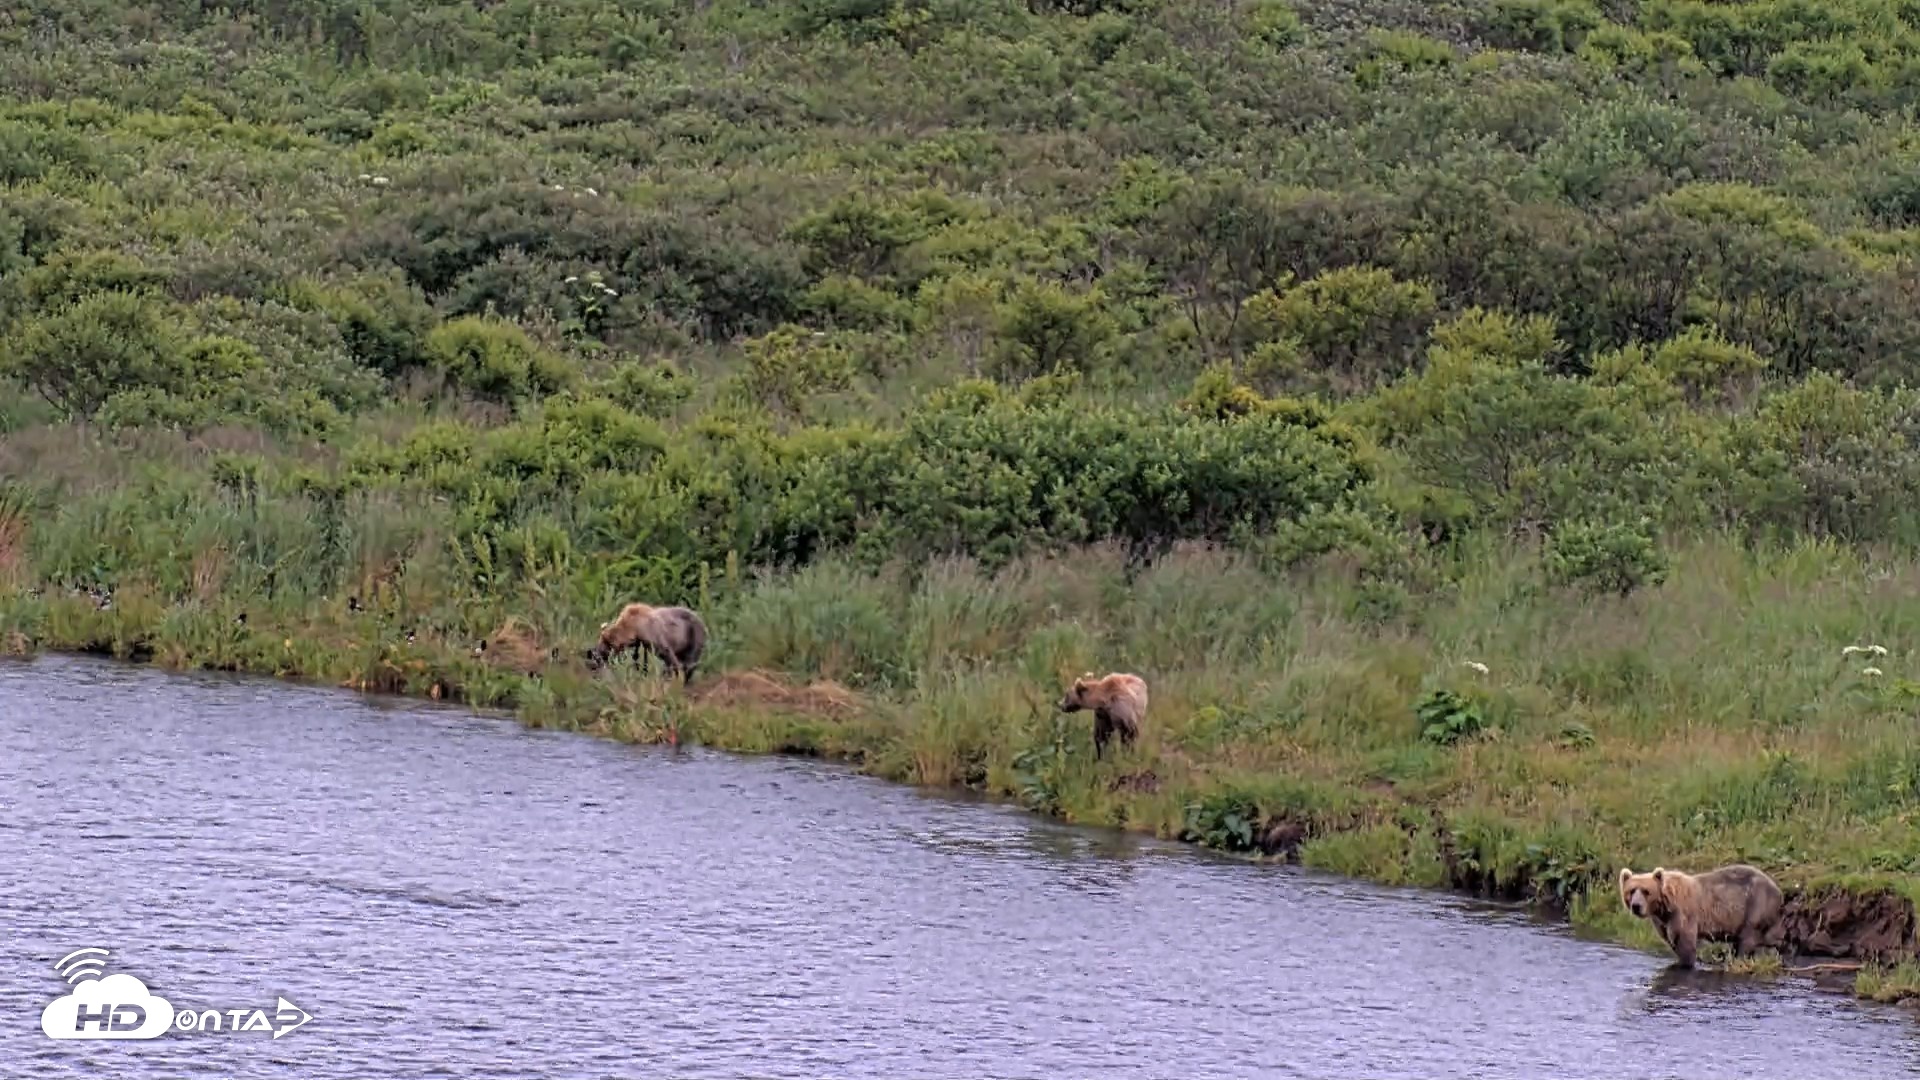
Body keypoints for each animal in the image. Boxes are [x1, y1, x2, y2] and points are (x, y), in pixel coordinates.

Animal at [1617, 863, 1785, 969]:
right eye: (1631, 891)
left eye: (1646, 891)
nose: (1636, 906)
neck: (1665, 906)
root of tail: (1778, 890)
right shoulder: (1662, 921)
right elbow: (1672, 941)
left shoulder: (1683, 914)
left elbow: (1685, 943)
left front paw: (1685, 964)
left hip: (1756, 905)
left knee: (1747, 939)